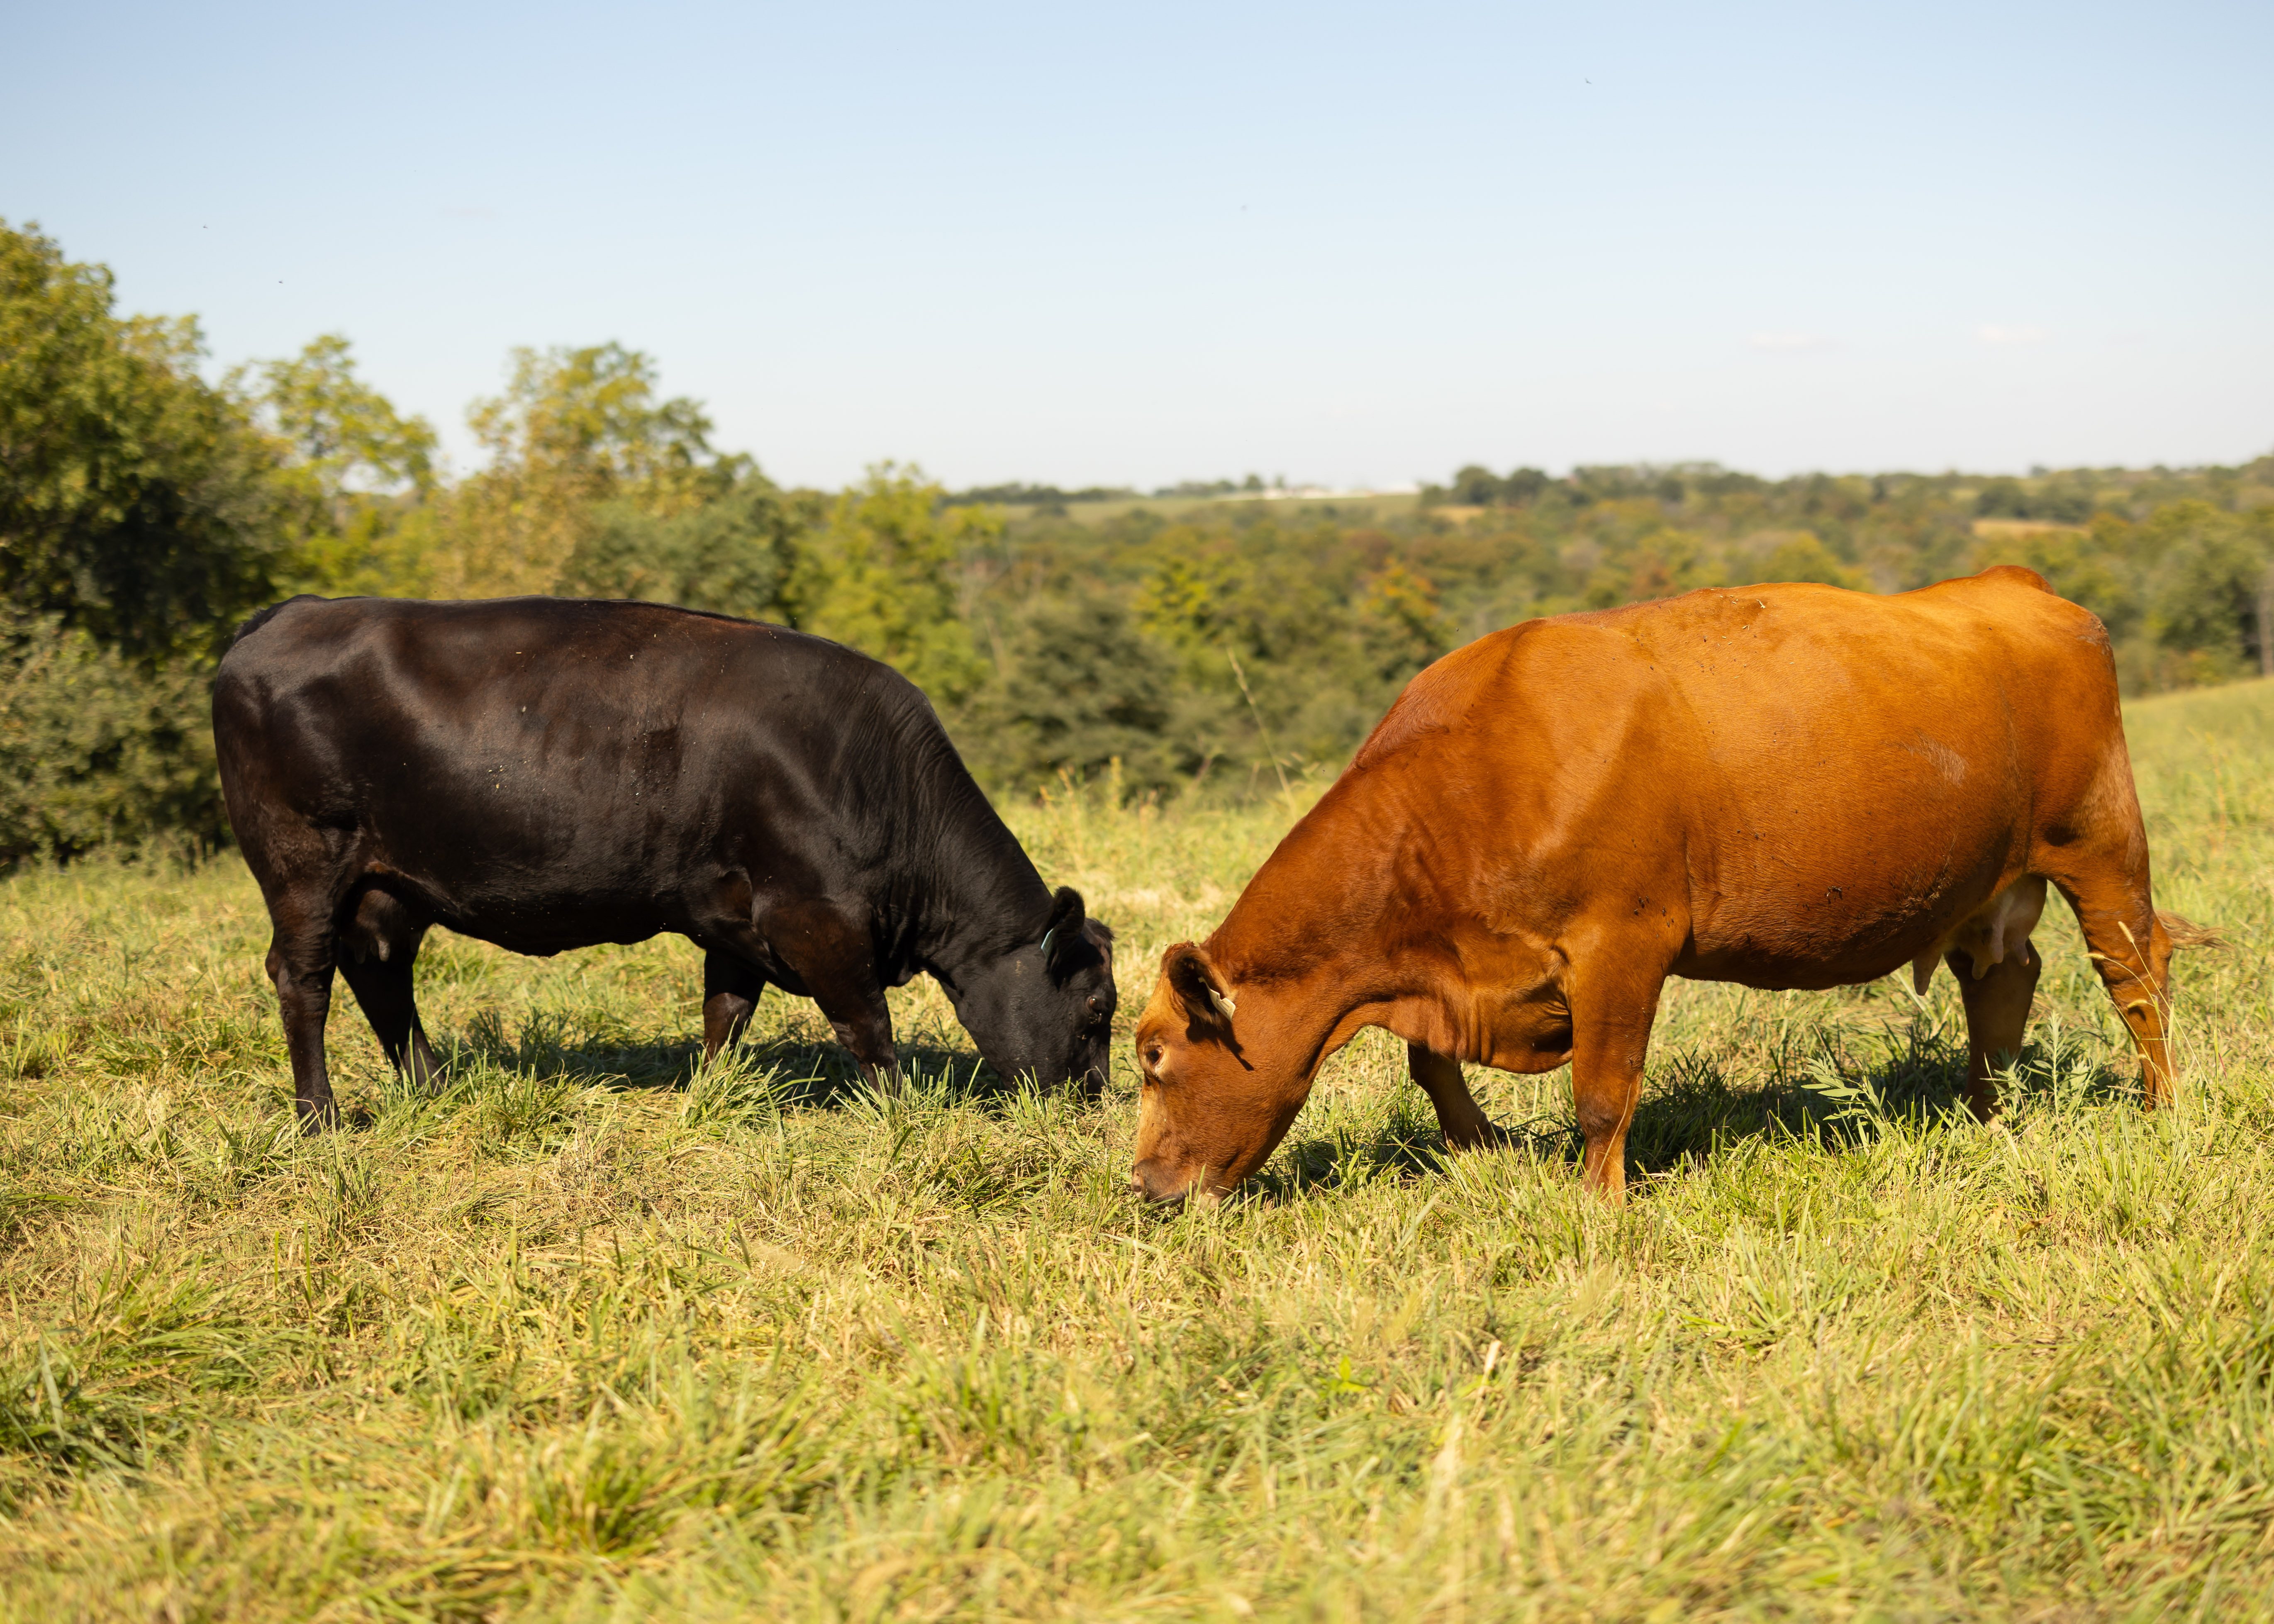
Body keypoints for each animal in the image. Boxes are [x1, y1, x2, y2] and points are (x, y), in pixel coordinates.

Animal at [213, 595, 1115, 1130]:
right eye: (1097, 1009)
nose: (1096, 1101)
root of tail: (288, 614)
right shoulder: (816, 918)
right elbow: (869, 1025)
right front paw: (901, 1116)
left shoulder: (738, 917)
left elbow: (727, 1013)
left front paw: (712, 1097)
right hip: (303, 863)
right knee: (305, 978)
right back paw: (321, 1117)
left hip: (386, 885)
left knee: (380, 970)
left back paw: (433, 1087)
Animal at [1132, 566, 2207, 1206]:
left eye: (1151, 1055)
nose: (1141, 1184)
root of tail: (2011, 581)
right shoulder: (1453, 967)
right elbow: (1429, 1063)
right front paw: (1482, 1150)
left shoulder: (1621, 941)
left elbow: (1603, 1095)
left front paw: (1598, 1209)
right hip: (1995, 877)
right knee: (2002, 978)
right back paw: (1986, 1113)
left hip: (2103, 844)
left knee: (2134, 978)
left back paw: (2163, 1110)